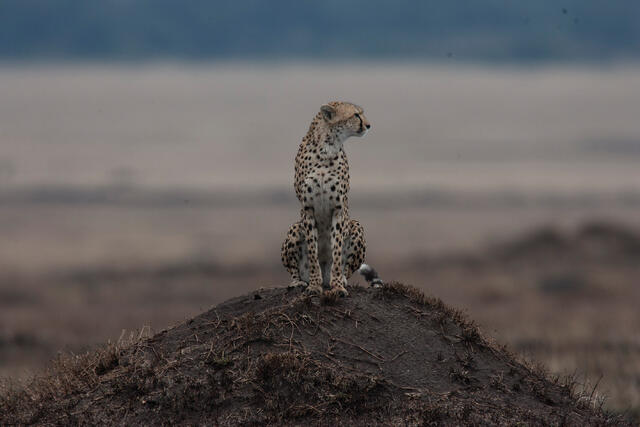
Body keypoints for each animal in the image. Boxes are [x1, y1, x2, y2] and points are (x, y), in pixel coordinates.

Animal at [281, 101, 381, 297]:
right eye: (356, 115)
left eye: (361, 113)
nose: (368, 125)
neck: (327, 147)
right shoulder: (308, 209)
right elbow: (313, 251)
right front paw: (314, 285)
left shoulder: (338, 208)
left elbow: (336, 249)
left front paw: (338, 286)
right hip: (295, 228)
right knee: (295, 270)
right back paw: (299, 282)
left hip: (356, 225)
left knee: (346, 268)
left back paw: (339, 279)